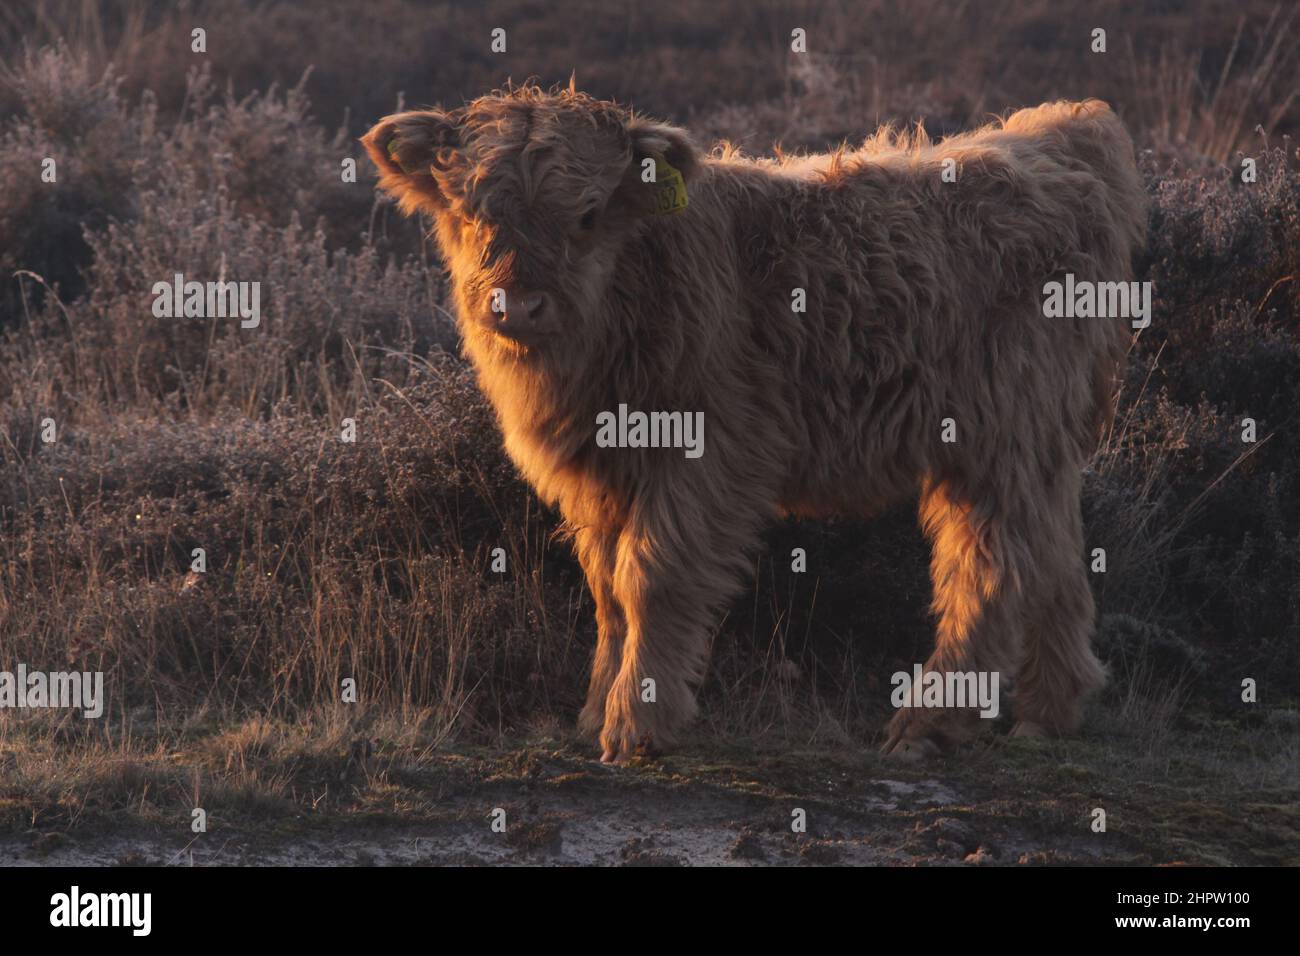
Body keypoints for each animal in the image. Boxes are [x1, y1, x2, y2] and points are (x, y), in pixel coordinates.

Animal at [361, 87, 1144, 764]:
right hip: (1037, 440)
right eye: (468, 211)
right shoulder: (599, 471)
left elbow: (651, 576)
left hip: (998, 430)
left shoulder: (707, 450)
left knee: (994, 565)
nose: (517, 306)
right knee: (1055, 552)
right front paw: (593, 713)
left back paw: (929, 723)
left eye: (585, 214)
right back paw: (1049, 713)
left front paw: (635, 724)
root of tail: (1058, 134)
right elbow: (607, 589)